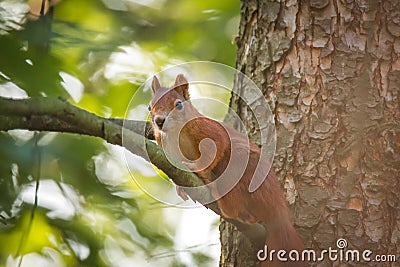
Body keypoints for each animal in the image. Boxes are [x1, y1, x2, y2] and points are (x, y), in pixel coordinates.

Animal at [149, 74, 306, 266]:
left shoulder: (211, 133)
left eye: (178, 104)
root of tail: (279, 210)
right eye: (150, 107)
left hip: (240, 168)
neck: (175, 133)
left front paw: (195, 167)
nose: (159, 121)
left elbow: (212, 151)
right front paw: (180, 187)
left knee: (232, 208)